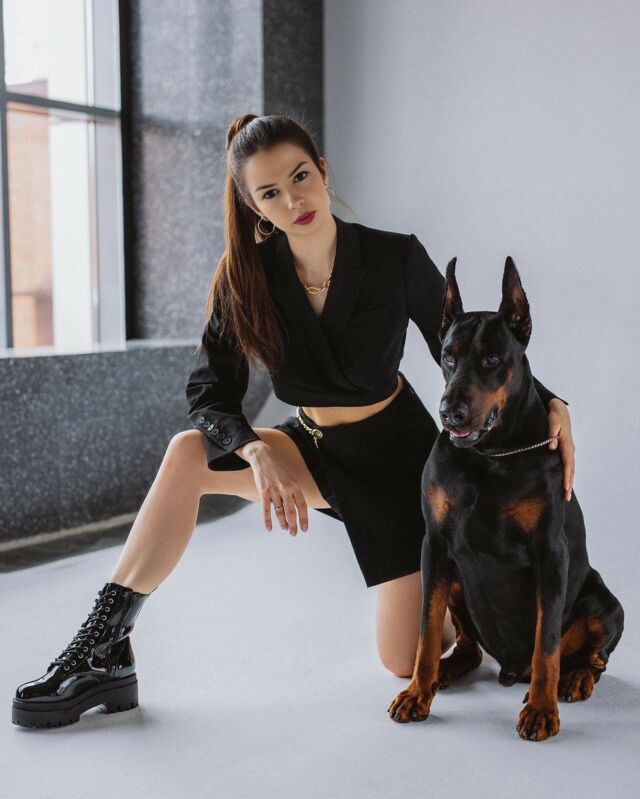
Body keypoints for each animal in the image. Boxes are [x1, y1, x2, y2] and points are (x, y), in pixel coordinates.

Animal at [387, 256, 624, 741]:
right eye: (448, 356)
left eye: (493, 359)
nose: (449, 412)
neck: (490, 456)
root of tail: (510, 669)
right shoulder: (434, 545)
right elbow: (425, 630)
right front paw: (416, 692)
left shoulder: (551, 553)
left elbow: (546, 645)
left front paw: (541, 710)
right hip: (455, 576)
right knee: (470, 647)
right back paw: (443, 673)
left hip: (605, 602)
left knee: (593, 657)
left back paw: (575, 679)